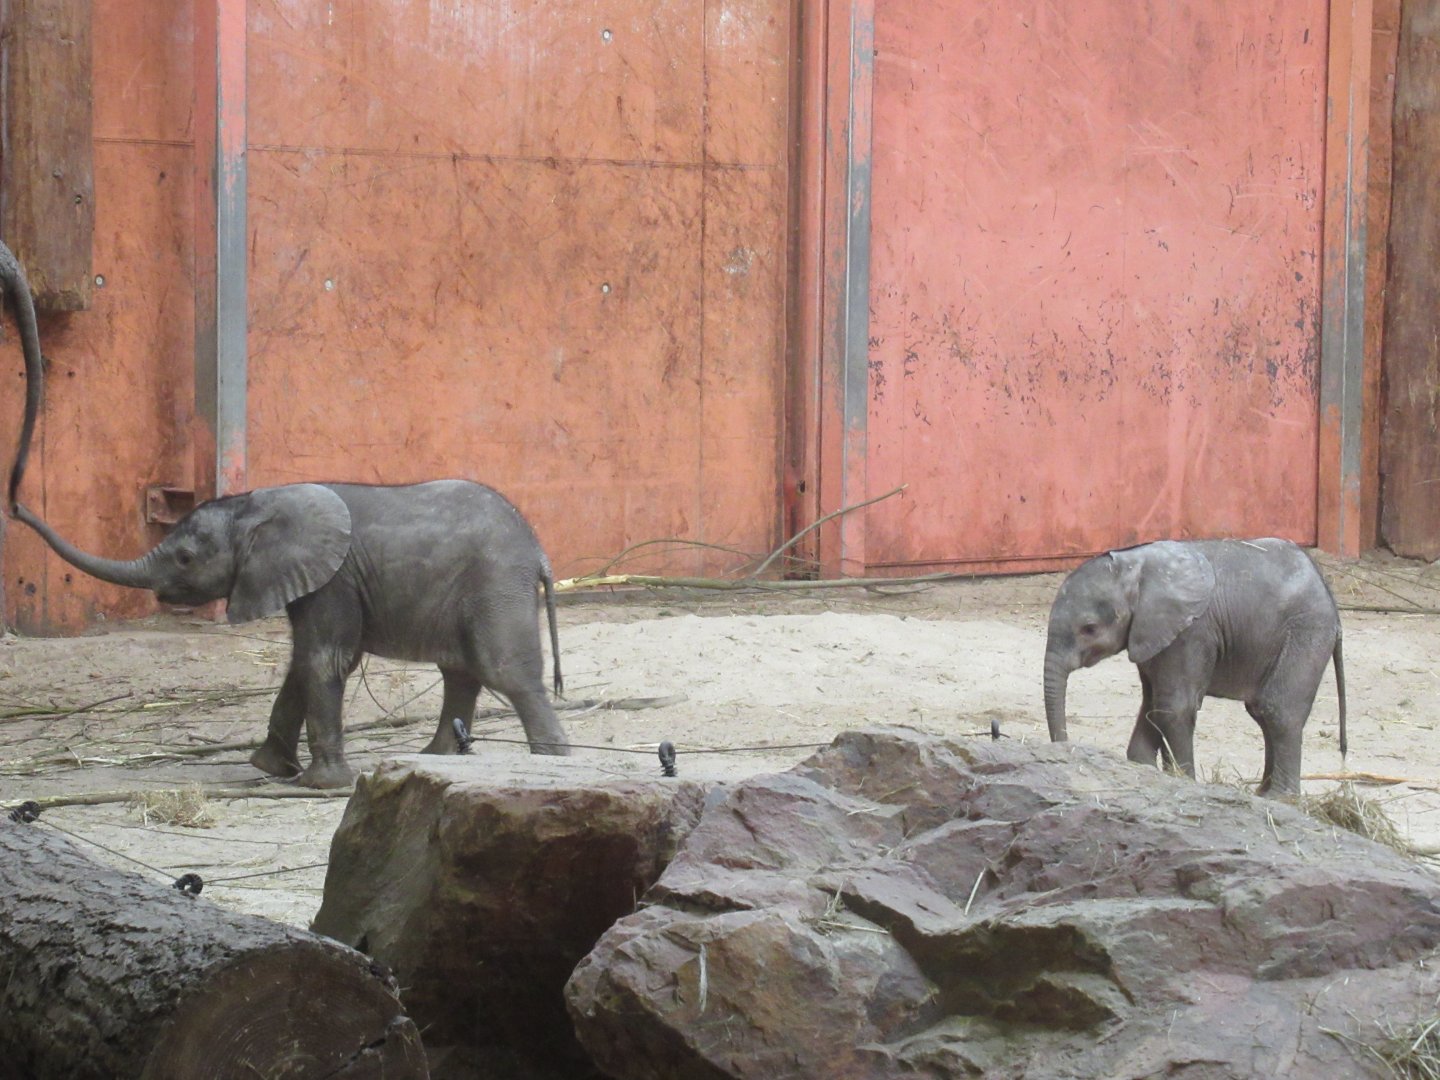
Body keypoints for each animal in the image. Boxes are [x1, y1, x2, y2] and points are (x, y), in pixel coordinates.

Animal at [13, 480, 569, 787]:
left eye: (186, 558)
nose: (14, 508)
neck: (258, 506)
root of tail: (540, 551)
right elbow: (307, 661)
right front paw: (270, 768)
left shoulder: (334, 577)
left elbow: (324, 659)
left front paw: (321, 785)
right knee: (461, 673)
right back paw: (435, 760)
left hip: (495, 584)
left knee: (504, 671)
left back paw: (554, 762)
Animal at [1043, 537, 1346, 796]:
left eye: (1089, 629)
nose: (1066, 749)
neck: (1135, 567)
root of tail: (1326, 589)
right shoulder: (1151, 634)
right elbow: (1153, 703)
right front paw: (1146, 769)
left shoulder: (1192, 632)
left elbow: (1173, 707)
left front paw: (1183, 780)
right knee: (1261, 712)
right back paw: (1261, 793)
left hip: (1307, 632)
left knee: (1278, 710)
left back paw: (1279, 798)